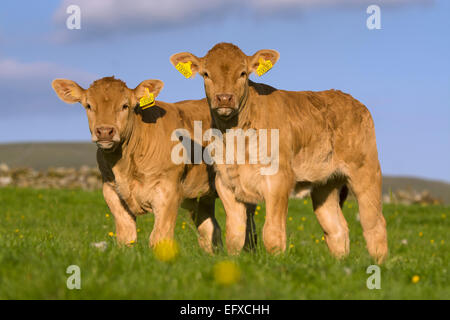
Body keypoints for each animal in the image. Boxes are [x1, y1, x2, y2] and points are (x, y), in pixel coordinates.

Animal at [51, 75, 225, 252]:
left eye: (125, 105)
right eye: (88, 105)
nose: (105, 131)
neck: (124, 166)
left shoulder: (168, 191)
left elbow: (159, 237)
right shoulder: (111, 192)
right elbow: (126, 236)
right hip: (202, 195)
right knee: (210, 229)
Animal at [171, 42, 388, 262]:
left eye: (243, 73)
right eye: (206, 74)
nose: (224, 98)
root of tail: (349, 99)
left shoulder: (278, 179)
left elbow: (272, 232)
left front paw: (277, 262)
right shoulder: (225, 182)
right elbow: (234, 234)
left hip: (366, 171)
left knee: (374, 223)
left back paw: (379, 263)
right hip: (325, 184)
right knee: (336, 228)